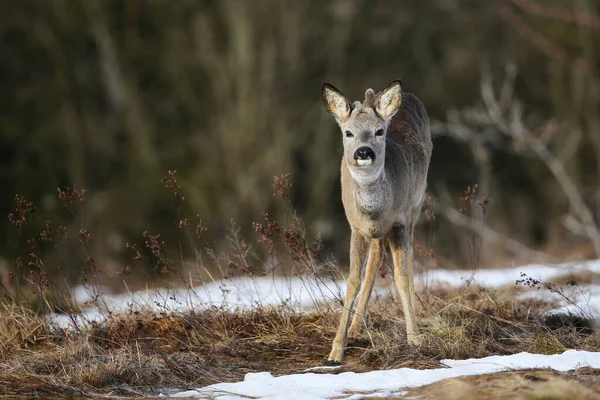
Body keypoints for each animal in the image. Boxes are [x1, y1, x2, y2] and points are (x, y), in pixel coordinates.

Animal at [324, 79, 432, 364]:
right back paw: (355, 327)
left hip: (416, 204)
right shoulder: (356, 228)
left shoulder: (400, 221)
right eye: (348, 132)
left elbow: (402, 276)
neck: (374, 211)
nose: (364, 152)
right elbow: (353, 280)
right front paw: (336, 349)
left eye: (379, 131)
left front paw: (414, 338)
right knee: (373, 262)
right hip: (378, 234)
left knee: (408, 262)